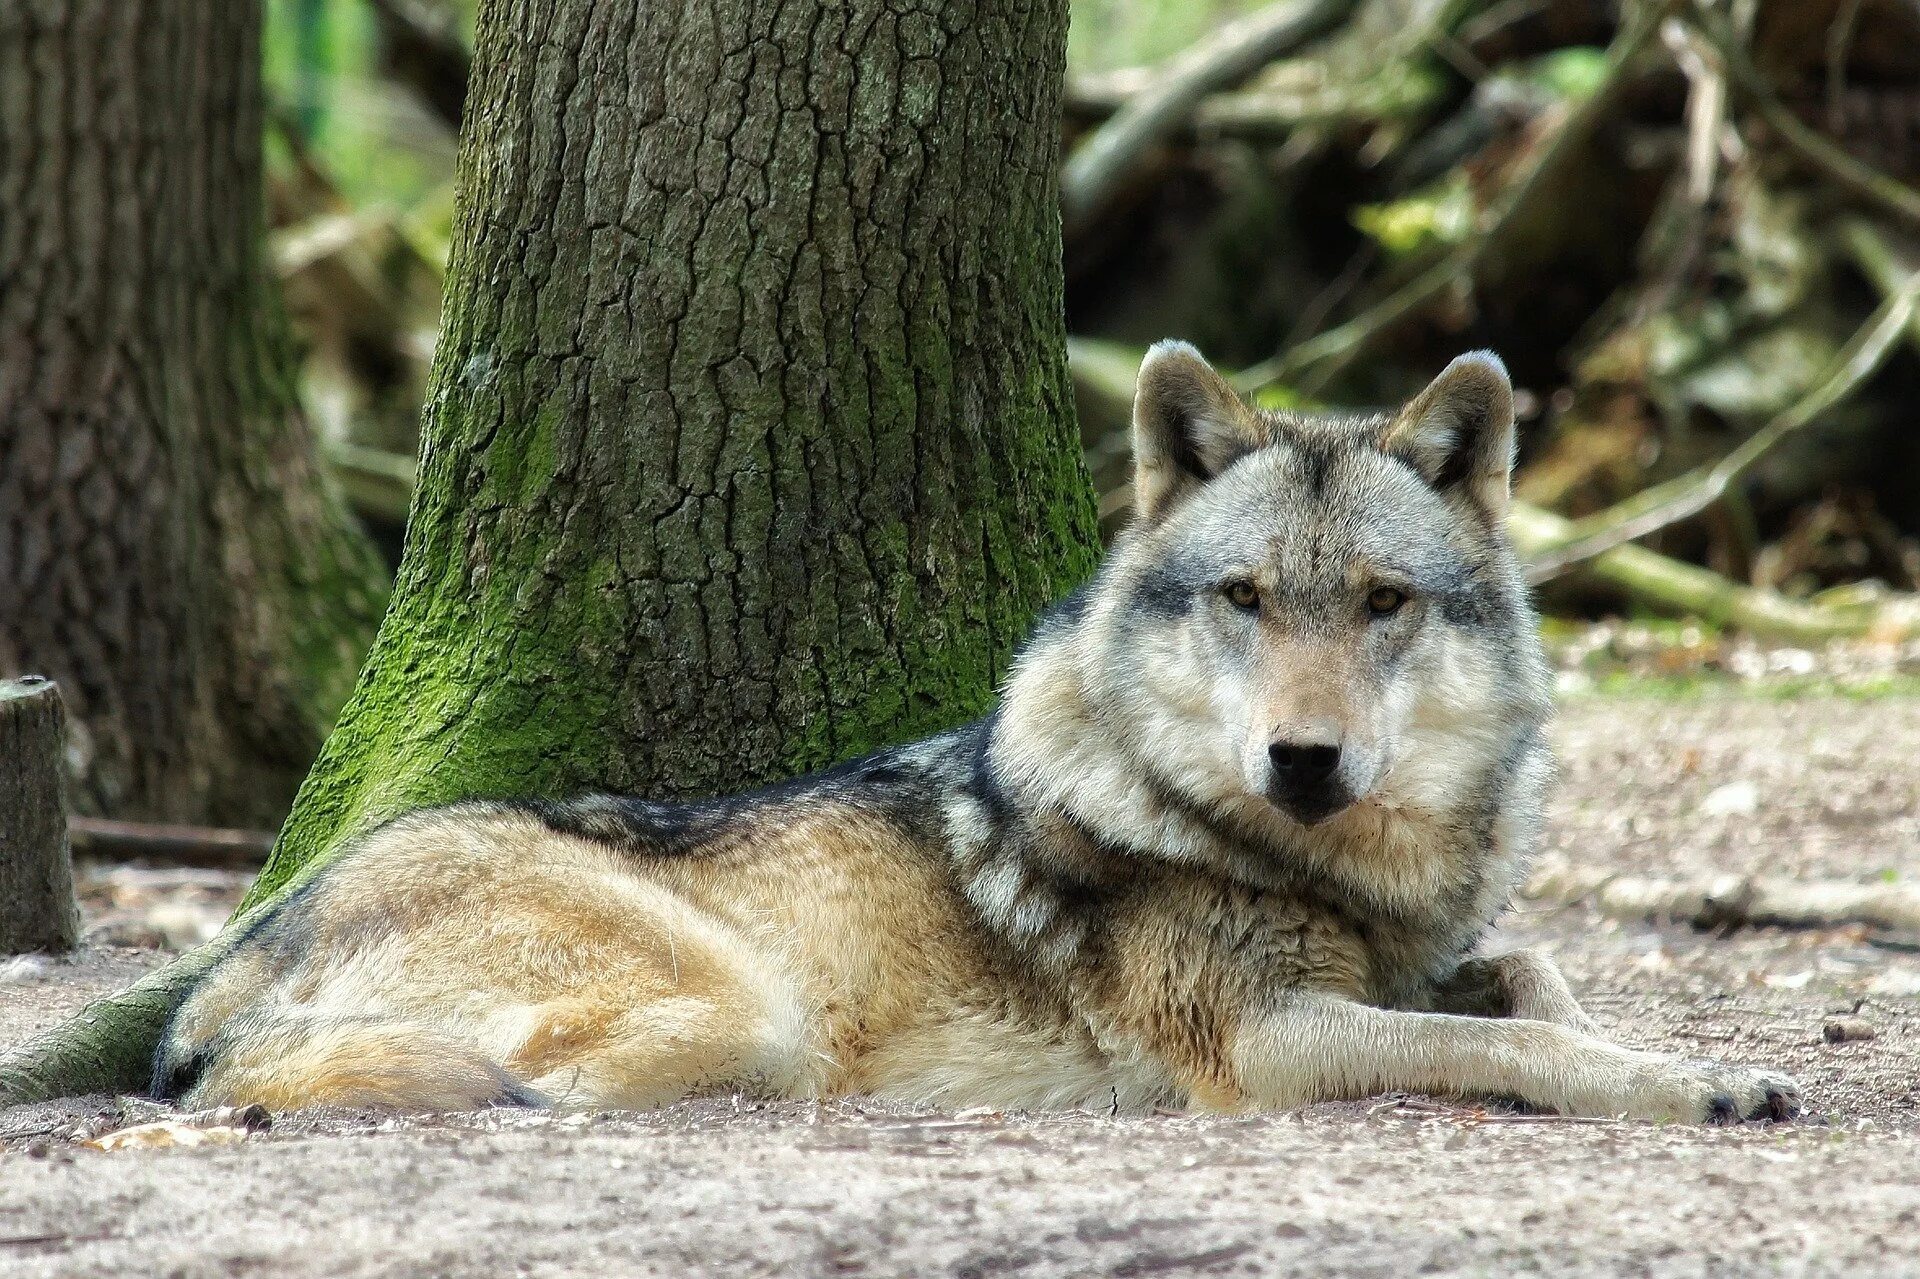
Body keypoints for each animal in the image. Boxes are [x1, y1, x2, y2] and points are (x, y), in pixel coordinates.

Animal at [149, 341, 1797, 1113]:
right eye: (1248, 598)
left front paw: (1677, 1052)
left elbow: (1540, 982)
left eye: (1383, 602)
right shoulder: (1266, 1040)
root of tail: (215, 981)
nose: (1302, 757)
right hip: (745, 1011)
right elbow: (1522, 1044)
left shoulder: (1420, 960)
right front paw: (1687, 1083)